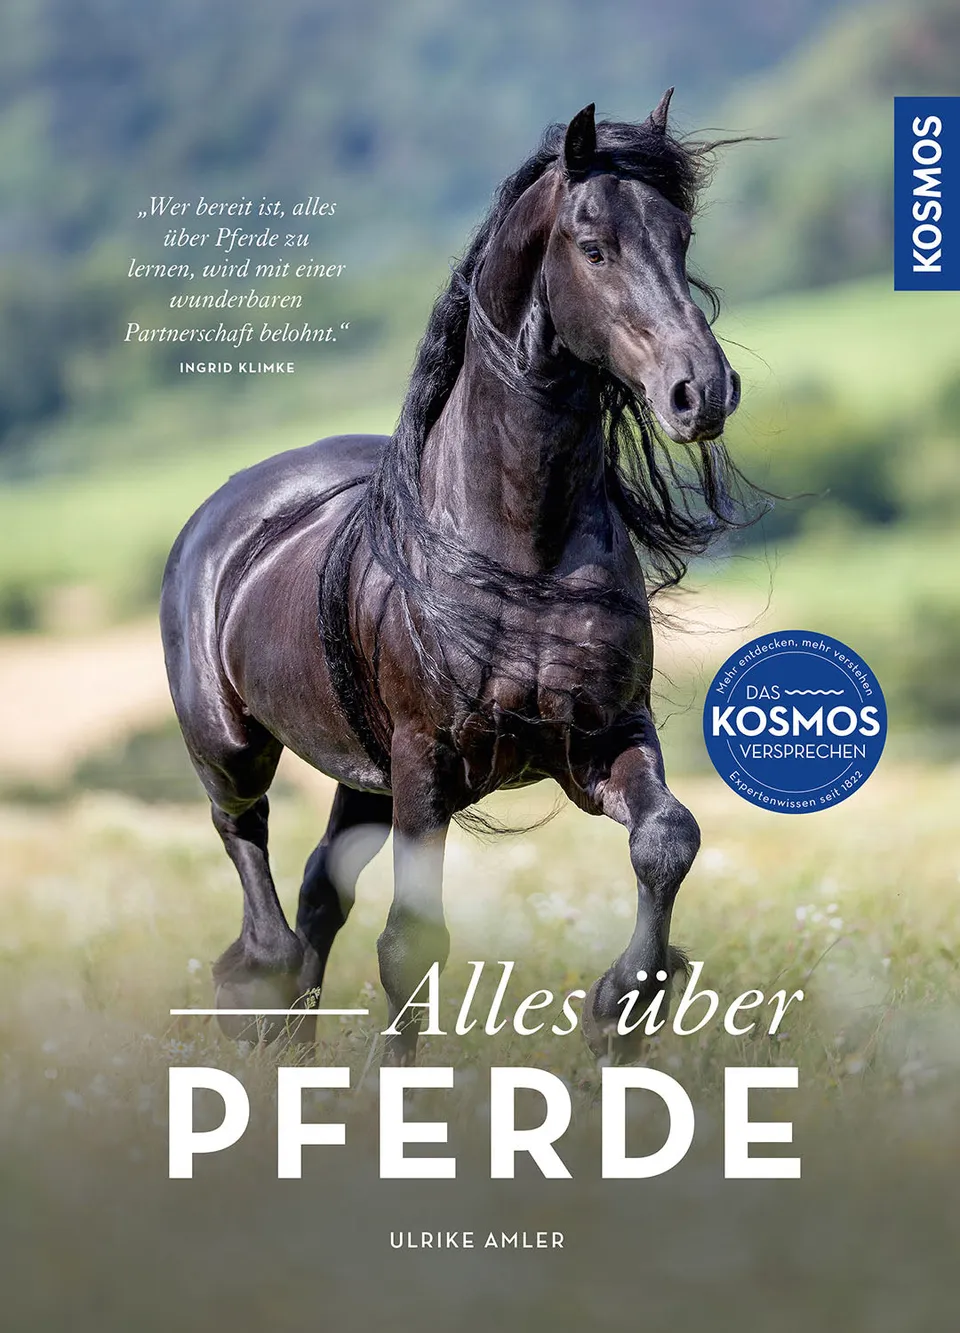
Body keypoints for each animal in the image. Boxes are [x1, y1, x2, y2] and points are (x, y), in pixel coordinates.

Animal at [161, 95, 748, 1065]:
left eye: (683, 233)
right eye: (594, 246)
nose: (700, 392)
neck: (522, 551)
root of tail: (230, 504)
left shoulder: (602, 736)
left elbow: (669, 837)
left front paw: (622, 1005)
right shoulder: (426, 761)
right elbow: (412, 940)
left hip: (362, 776)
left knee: (321, 890)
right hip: (235, 745)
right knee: (248, 845)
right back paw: (259, 991)